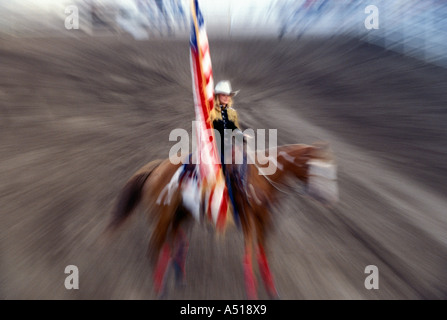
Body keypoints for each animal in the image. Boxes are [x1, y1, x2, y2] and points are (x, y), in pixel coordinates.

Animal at [107, 142, 338, 300]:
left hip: (180, 215)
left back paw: (178, 277)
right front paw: (252, 292)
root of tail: (155, 169)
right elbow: (249, 255)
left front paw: (272, 290)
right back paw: (160, 288)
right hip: (163, 217)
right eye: (318, 169)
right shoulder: (248, 220)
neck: (262, 177)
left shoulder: (264, 221)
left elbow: (263, 254)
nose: (328, 199)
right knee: (156, 246)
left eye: (331, 172)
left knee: (174, 243)